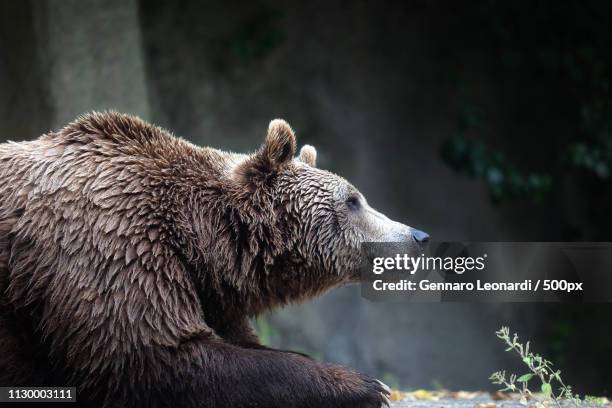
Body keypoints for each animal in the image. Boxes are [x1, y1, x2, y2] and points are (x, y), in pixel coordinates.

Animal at [0, 110, 430, 406]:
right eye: (353, 200)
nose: (417, 236)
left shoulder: (205, 287)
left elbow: (240, 345)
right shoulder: (111, 243)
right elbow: (161, 356)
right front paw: (367, 384)